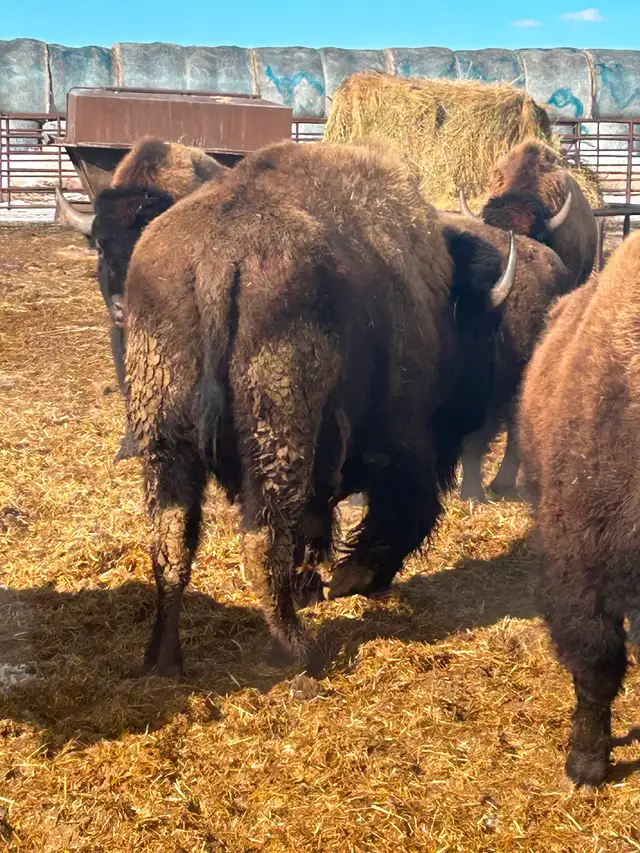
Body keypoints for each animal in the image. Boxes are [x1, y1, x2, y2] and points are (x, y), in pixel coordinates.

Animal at [122, 138, 516, 678]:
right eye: (485, 331)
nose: (478, 415)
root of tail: (218, 256)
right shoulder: (404, 441)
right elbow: (405, 508)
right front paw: (353, 578)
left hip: (166, 439)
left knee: (172, 542)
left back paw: (163, 659)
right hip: (277, 434)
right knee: (262, 541)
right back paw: (299, 652)